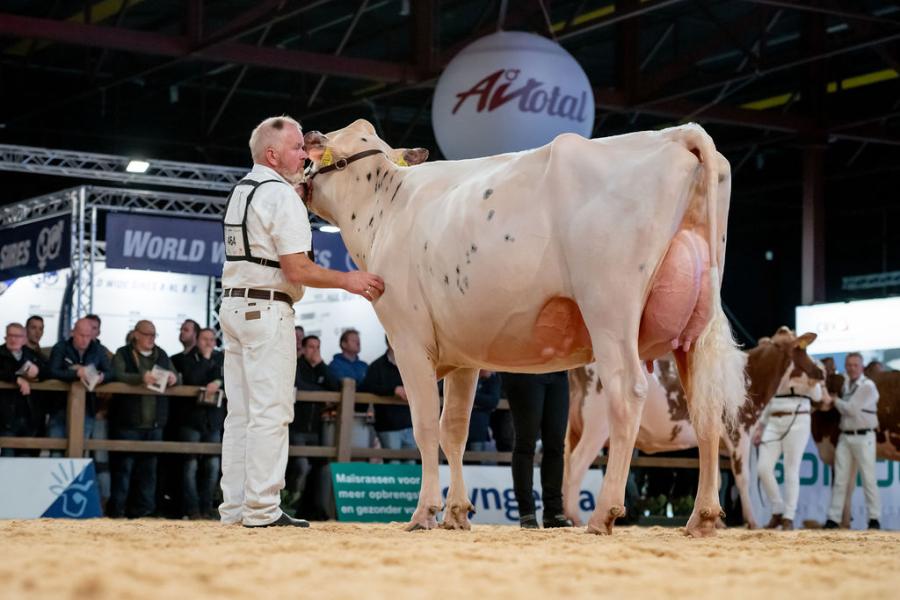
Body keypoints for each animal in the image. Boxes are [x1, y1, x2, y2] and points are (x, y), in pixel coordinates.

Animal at [302, 119, 744, 536]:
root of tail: (676, 133)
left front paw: (425, 512)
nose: (301, 165)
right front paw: (457, 513)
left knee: (627, 392)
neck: (385, 207)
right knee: (706, 408)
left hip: (610, 307)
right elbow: (455, 430)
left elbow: (425, 425)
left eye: (320, 149)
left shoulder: (408, 338)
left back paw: (602, 514)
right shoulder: (465, 355)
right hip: (695, 327)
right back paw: (702, 518)